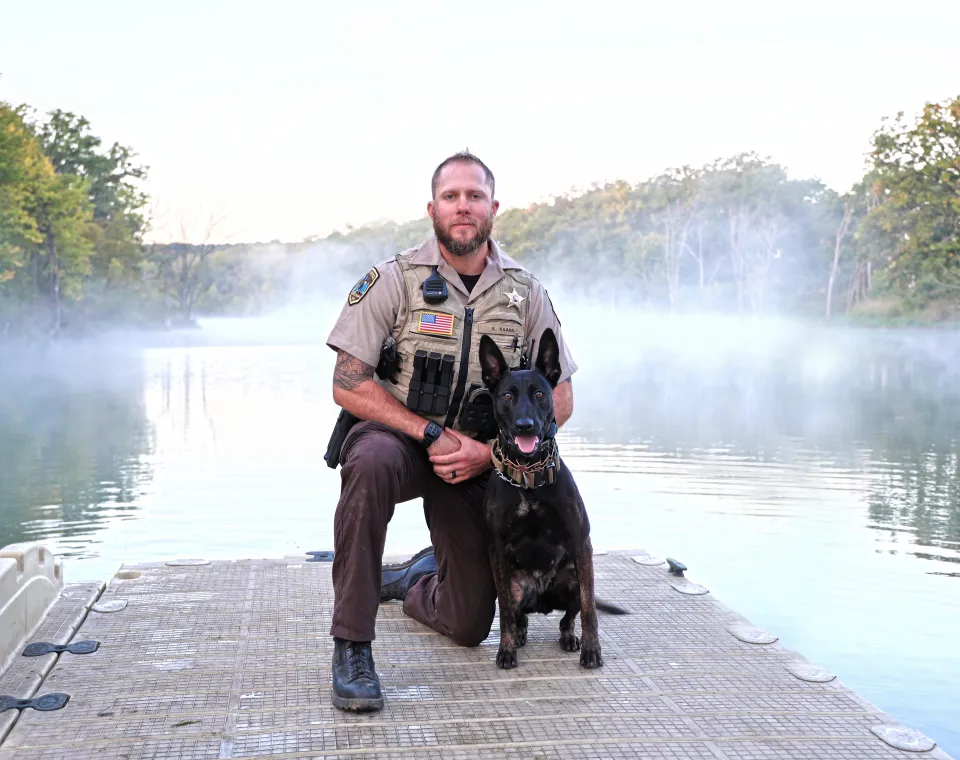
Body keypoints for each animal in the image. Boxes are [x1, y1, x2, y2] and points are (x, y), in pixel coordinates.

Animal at [478, 324, 628, 668]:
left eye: (539, 394)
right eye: (507, 396)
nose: (526, 426)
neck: (528, 477)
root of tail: (541, 599)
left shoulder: (582, 543)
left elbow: (589, 611)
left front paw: (592, 650)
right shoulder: (496, 549)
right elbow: (505, 614)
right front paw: (505, 650)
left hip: (570, 580)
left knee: (568, 616)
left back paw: (570, 639)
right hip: (515, 586)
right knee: (519, 616)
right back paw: (519, 636)